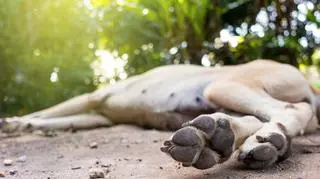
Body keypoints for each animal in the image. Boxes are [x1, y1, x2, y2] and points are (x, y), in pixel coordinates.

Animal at [0, 59, 320, 170]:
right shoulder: (101, 116)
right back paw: (219, 140)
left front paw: (14, 122)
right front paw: (24, 125)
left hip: (223, 85)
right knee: (255, 119)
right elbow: (59, 118)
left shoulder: (92, 97)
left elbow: (49, 110)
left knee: (291, 109)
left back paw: (266, 140)